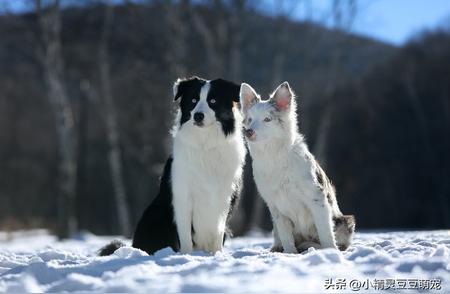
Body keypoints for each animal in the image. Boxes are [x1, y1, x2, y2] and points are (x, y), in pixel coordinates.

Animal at [100, 76, 246, 255]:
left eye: (213, 101)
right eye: (193, 100)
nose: (198, 116)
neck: (205, 143)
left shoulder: (224, 197)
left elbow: (218, 232)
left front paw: (217, 255)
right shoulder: (182, 196)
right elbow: (184, 235)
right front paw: (186, 255)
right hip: (154, 216)